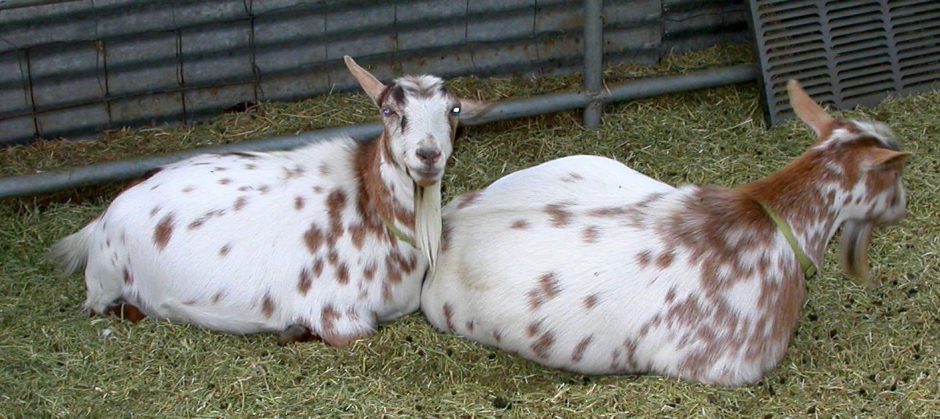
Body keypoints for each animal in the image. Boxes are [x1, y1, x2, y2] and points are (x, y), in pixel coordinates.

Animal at [53, 56, 482, 347]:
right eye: (389, 111)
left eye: (454, 110)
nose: (428, 154)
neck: (373, 207)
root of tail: (102, 221)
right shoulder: (338, 315)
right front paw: (292, 329)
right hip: (106, 282)